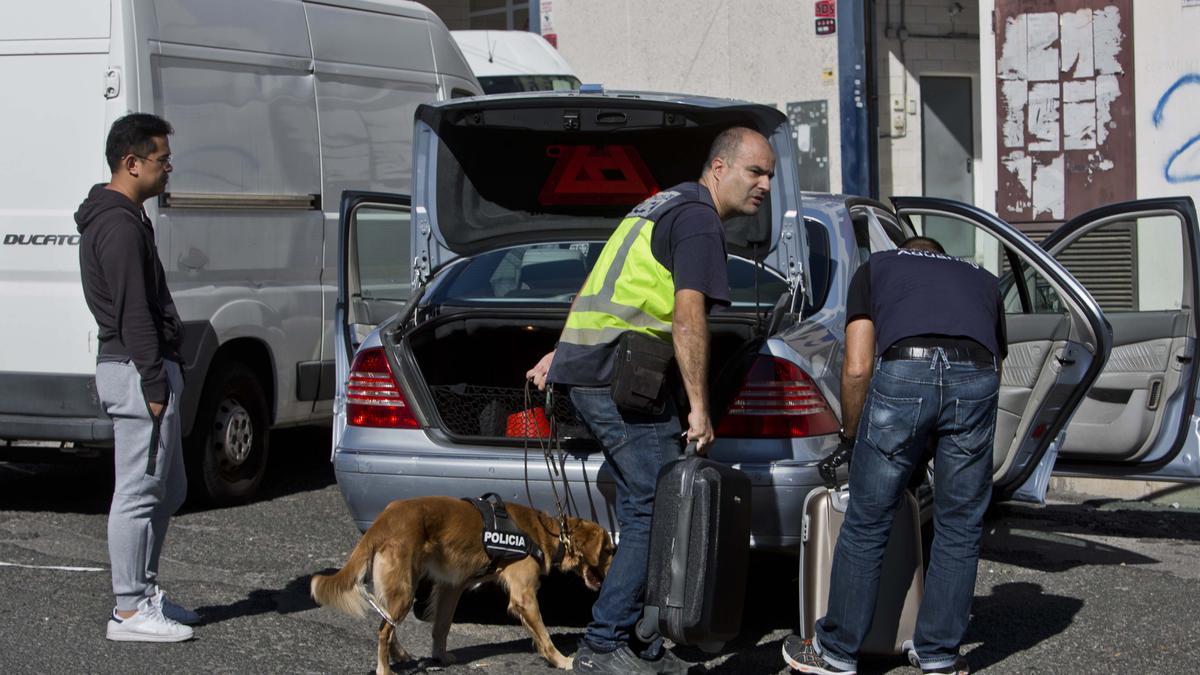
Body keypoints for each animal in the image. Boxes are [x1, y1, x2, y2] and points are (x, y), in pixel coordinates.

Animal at [312, 492, 609, 667]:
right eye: (608, 550)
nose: (616, 560)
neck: (545, 533)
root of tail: (384, 520)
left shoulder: (451, 587)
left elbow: (441, 626)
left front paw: (441, 656)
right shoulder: (523, 596)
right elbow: (544, 636)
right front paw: (561, 660)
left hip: (398, 589)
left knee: (388, 625)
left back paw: (401, 655)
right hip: (404, 590)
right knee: (384, 631)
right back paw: (384, 669)